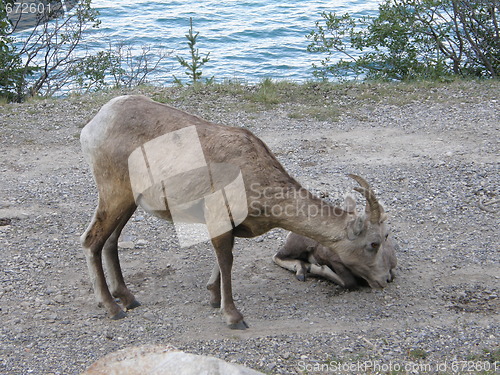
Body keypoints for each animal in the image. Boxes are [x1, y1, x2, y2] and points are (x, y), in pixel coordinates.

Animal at [80, 95, 396, 330]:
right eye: (373, 243)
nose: (385, 280)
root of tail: (93, 126)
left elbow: (223, 261)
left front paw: (212, 297)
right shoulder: (219, 218)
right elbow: (227, 261)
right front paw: (234, 317)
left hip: (128, 202)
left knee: (110, 241)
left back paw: (128, 298)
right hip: (114, 193)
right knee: (91, 241)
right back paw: (112, 308)